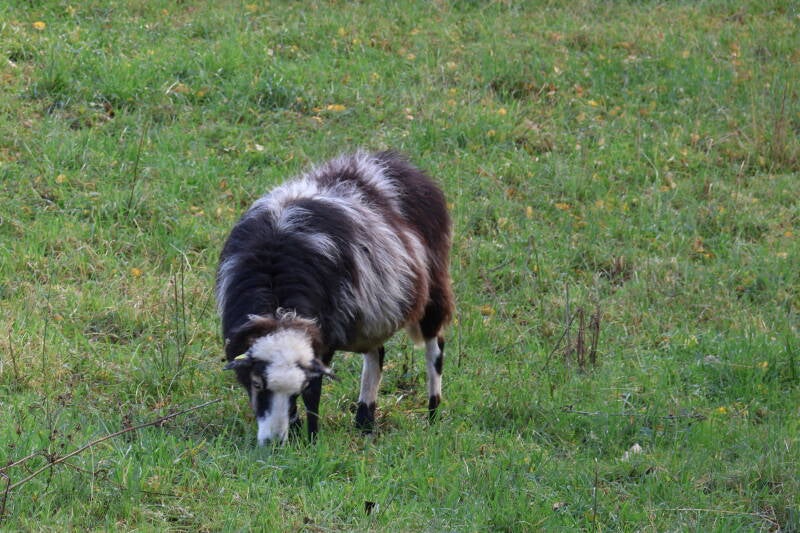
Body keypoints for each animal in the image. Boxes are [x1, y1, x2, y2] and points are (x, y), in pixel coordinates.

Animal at [216, 150, 454, 444]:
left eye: (297, 389)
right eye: (257, 384)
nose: (274, 442)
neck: (277, 300)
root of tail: (394, 162)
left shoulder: (323, 339)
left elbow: (314, 394)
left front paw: (310, 439)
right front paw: (296, 432)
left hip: (433, 288)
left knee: (435, 349)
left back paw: (432, 413)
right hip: (370, 312)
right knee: (377, 355)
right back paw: (364, 421)